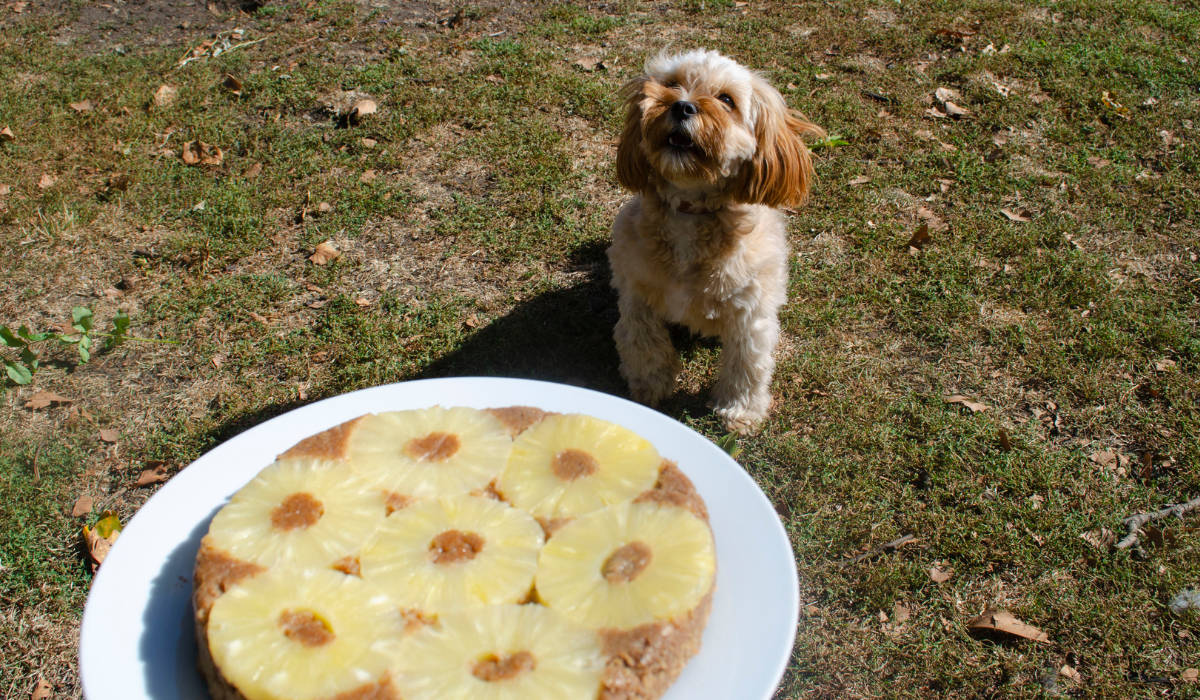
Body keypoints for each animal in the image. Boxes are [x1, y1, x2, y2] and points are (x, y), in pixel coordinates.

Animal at [609, 48, 825, 432]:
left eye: (727, 100)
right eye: (671, 84)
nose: (682, 106)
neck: (688, 212)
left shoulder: (751, 312)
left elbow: (747, 364)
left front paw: (740, 411)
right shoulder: (634, 289)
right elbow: (640, 337)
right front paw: (650, 383)